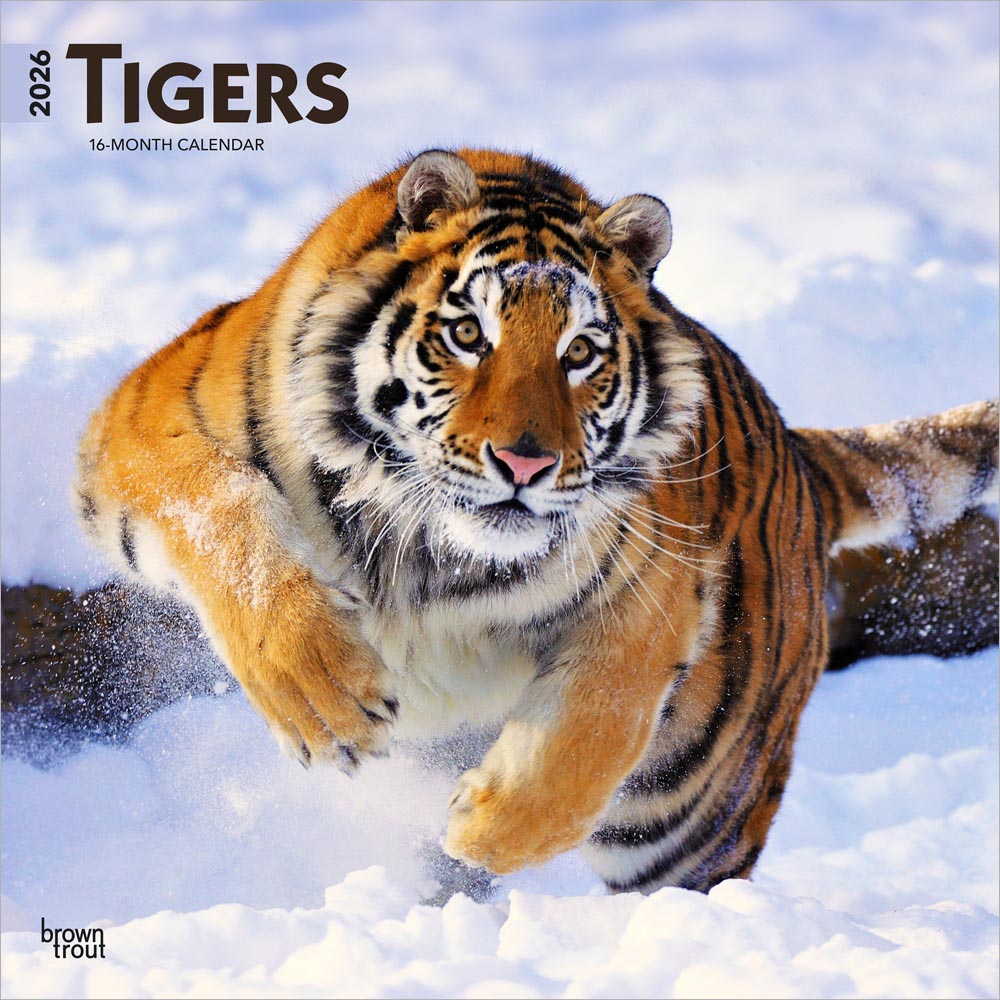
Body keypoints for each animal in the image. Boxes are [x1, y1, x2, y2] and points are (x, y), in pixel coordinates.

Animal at [75, 148, 999, 894]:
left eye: (580, 352)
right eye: (466, 333)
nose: (524, 465)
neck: (429, 548)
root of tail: (800, 455)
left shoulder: (655, 585)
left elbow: (592, 728)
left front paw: (484, 828)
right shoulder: (143, 420)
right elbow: (223, 514)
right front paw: (323, 699)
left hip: (696, 808)